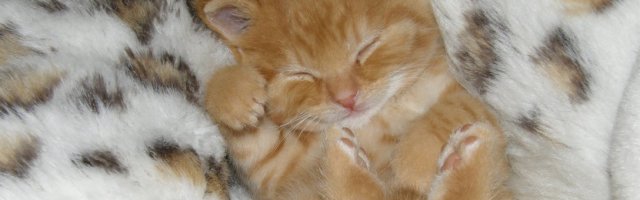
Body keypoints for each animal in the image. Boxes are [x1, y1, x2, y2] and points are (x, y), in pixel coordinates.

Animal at [195, 0, 510, 198]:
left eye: (367, 47)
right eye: (301, 74)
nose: (347, 98)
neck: (381, 117)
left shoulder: (480, 100)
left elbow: (459, 106)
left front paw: (414, 162)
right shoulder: (275, 167)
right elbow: (253, 142)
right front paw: (231, 91)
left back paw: (464, 156)